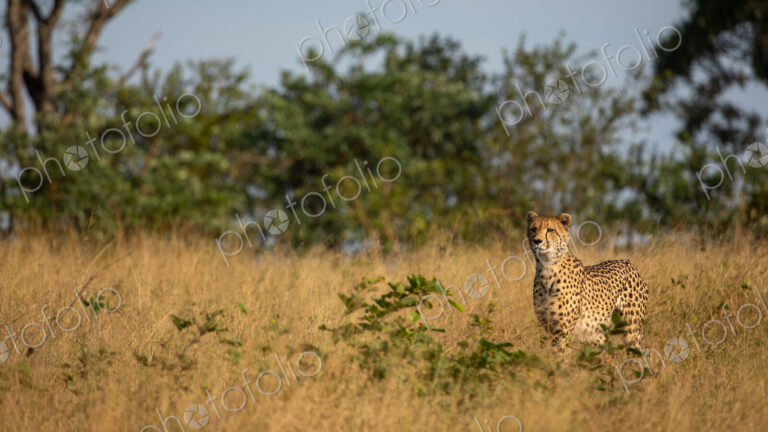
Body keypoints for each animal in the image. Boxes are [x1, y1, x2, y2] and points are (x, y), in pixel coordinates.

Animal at [526, 211, 648, 351]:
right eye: (533, 229)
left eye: (550, 230)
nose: (537, 241)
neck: (547, 268)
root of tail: (627, 261)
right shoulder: (550, 329)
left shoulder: (563, 332)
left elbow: (561, 354)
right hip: (596, 333)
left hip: (631, 329)